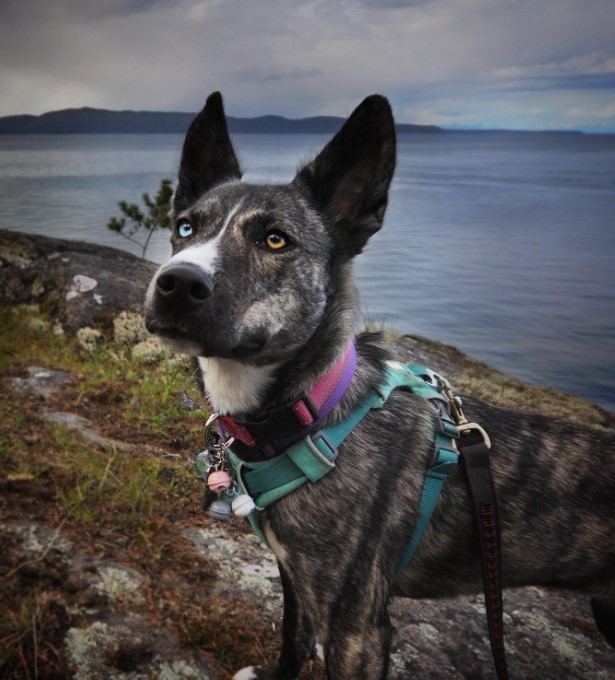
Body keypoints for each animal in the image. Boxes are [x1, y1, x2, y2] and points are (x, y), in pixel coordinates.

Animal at [146, 91, 615, 680]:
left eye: (275, 240)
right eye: (186, 228)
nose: (177, 283)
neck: (310, 414)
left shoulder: (357, 628)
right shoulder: (296, 576)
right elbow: (292, 639)